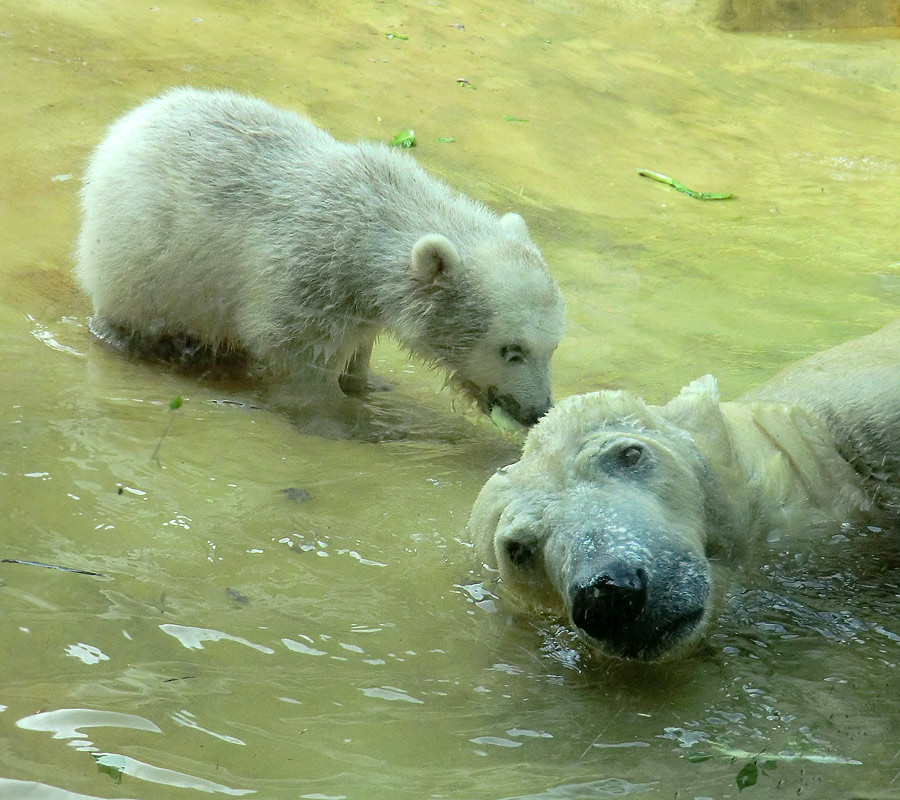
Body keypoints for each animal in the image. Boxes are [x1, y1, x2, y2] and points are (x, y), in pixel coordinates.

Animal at [75, 88, 564, 432]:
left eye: (553, 345)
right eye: (512, 349)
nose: (538, 411)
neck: (374, 218)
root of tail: (129, 124)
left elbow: (359, 345)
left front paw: (367, 383)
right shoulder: (308, 271)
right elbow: (294, 347)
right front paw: (340, 417)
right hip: (138, 250)